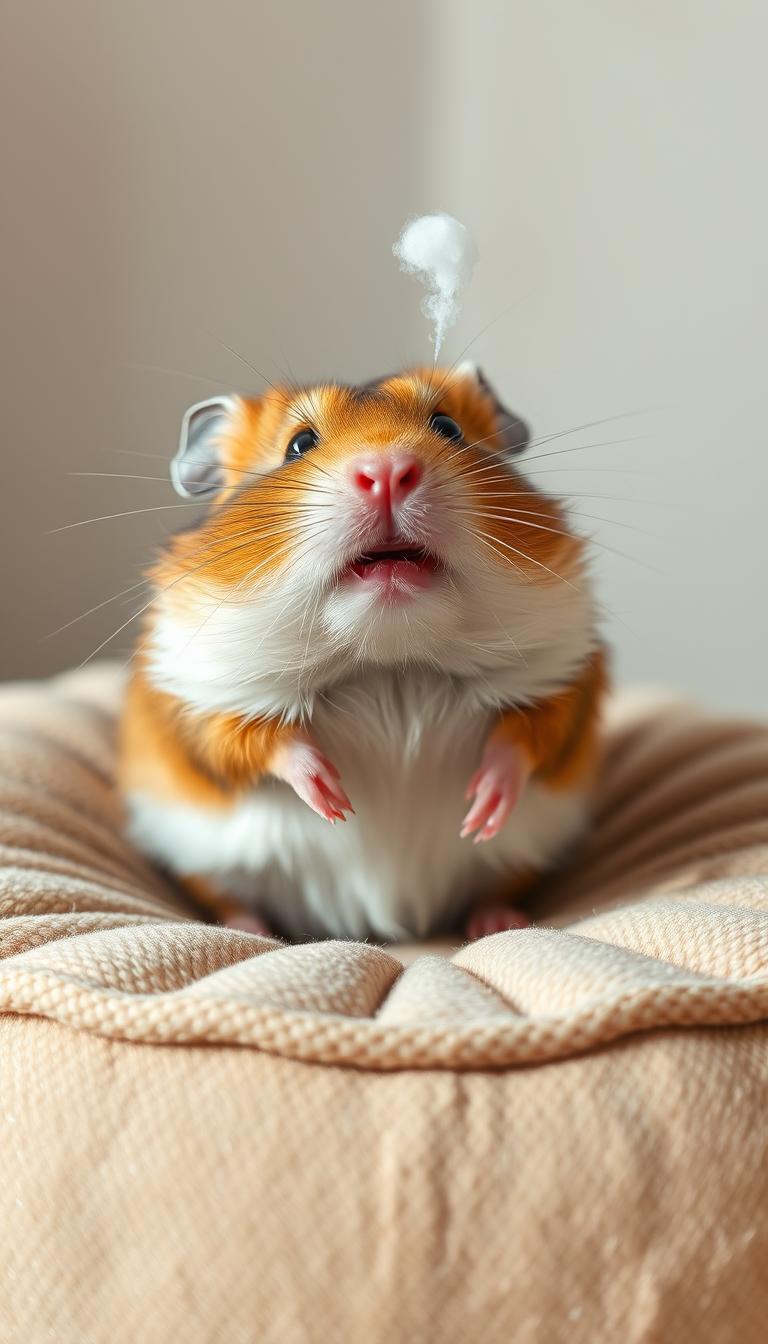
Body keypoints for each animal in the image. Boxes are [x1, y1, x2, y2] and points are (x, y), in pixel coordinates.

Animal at [119, 363, 607, 941]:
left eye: (448, 427)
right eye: (299, 444)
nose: (388, 470)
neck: (388, 663)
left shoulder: (565, 676)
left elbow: (527, 739)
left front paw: (480, 810)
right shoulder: (198, 700)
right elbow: (255, 744)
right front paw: (336, 803)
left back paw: (494, 921)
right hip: (209, 864)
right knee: (226, 895)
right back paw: (252, 929)